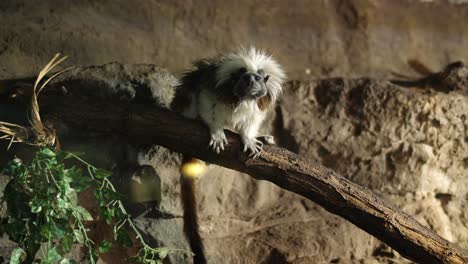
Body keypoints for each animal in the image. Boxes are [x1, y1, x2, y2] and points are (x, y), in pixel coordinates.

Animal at [170, 46, 288, 262]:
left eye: (257, 78)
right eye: (246, 78)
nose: (251, 83)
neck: (243, 98)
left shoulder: (257, 103)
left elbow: (250, 121)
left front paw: (249, 138)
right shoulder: (211, 89)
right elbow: (208, 106)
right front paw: (216, 131)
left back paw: (264, 138)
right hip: (185, 105)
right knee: (190, 92)